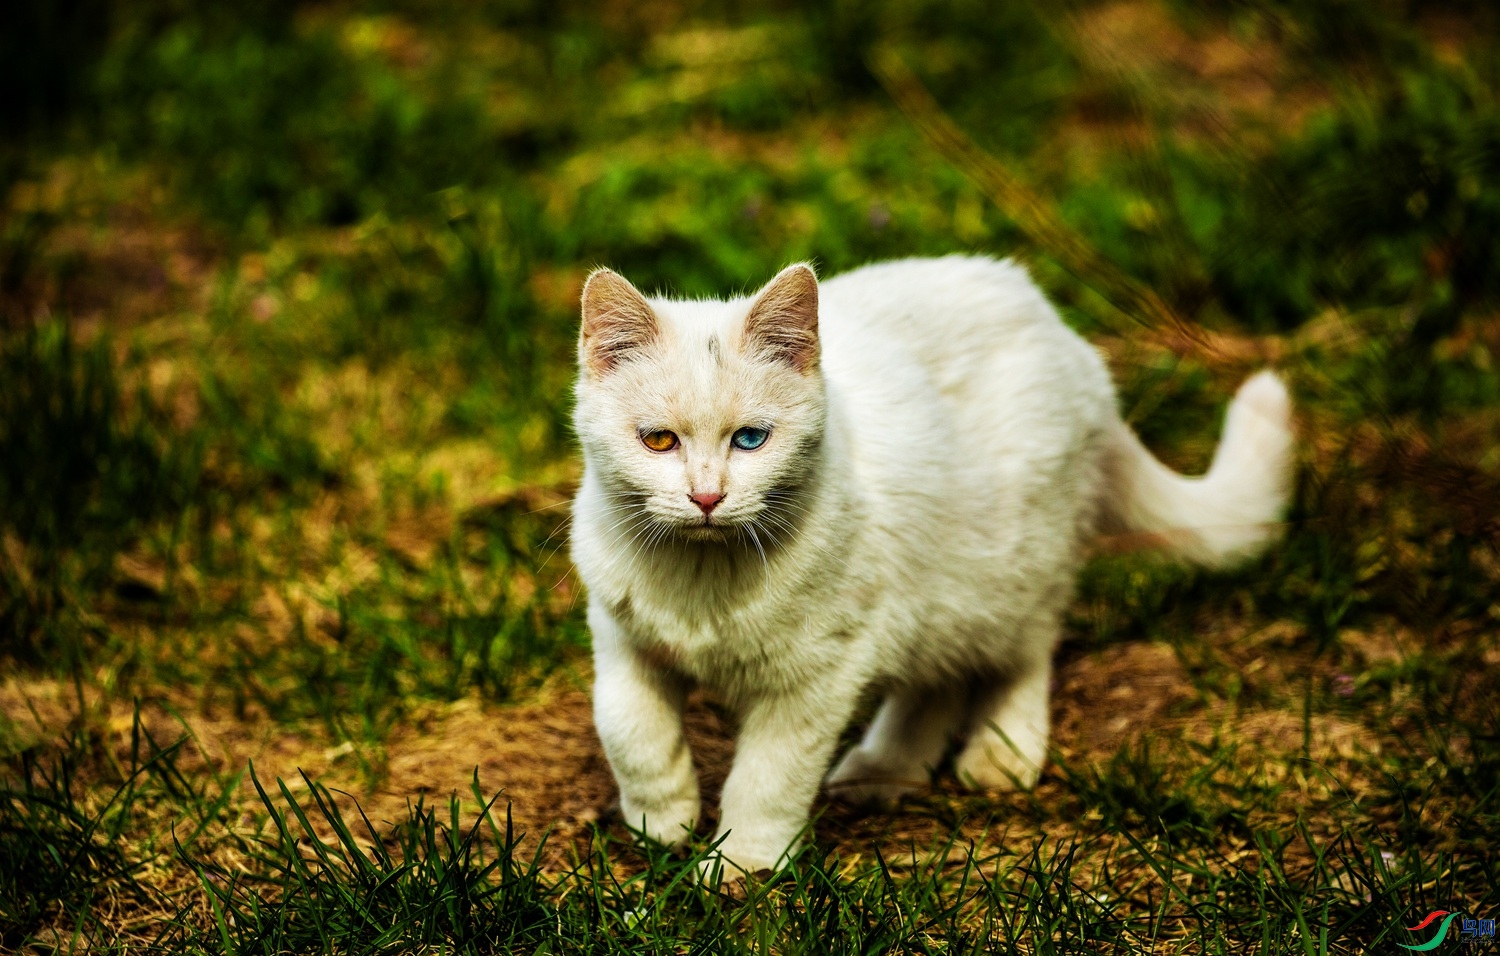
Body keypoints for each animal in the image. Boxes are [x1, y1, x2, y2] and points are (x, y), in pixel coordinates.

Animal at [567, 255, 1296, 882]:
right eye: (658, 440)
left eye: (751, 439)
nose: (707, 497)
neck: (703, 579)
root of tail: (1069, 343)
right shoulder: (619, 638)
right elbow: (630, 732)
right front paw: (660, 821)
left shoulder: (815, 680)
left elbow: (767, 779)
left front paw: (741, 865)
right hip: (934, 597)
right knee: (936, 683)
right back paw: (885, 769)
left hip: (1015, 575)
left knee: (1022, 660)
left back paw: (1002, 751)